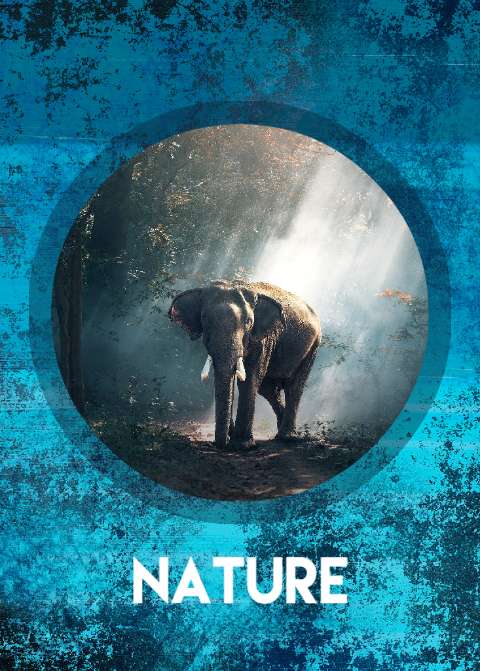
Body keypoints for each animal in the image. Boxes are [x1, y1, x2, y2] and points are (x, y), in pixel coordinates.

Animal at [168, 280, 321, 449]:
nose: (221, 444)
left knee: (294, 386)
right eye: (205, 319)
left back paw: (287, 437)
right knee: (268, 389)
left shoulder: (262, 339)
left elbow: (250, 379)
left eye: (249, 322)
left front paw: (242, 445)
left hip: (313, 346)